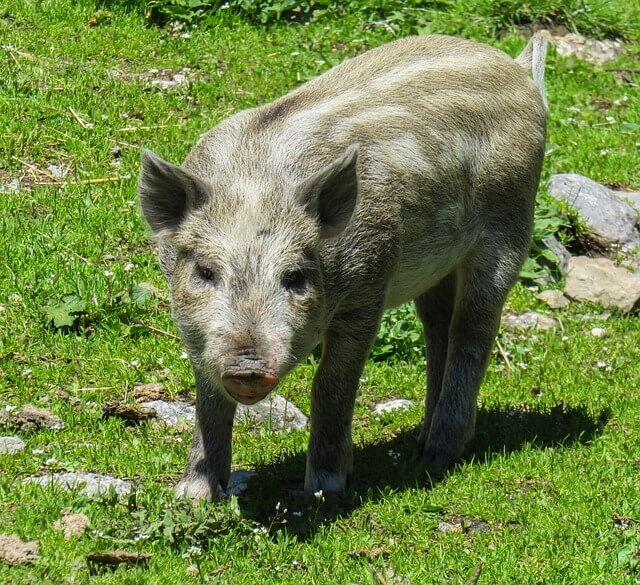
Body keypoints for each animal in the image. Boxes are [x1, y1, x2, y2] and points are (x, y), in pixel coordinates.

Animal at [138, 32, 548, 500]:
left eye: (295, 277)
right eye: (205, 272)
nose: (248, 366)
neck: (255, 184)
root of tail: (519, 70)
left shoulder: (369, 284)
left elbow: (331, 383)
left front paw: (325, 489)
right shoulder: (193, 325)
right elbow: (207, 397)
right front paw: (192, 497)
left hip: (509, 222)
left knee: (473, 330)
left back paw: (438, 455)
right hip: (440, 265)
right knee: (438, 328)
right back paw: (420, 443)